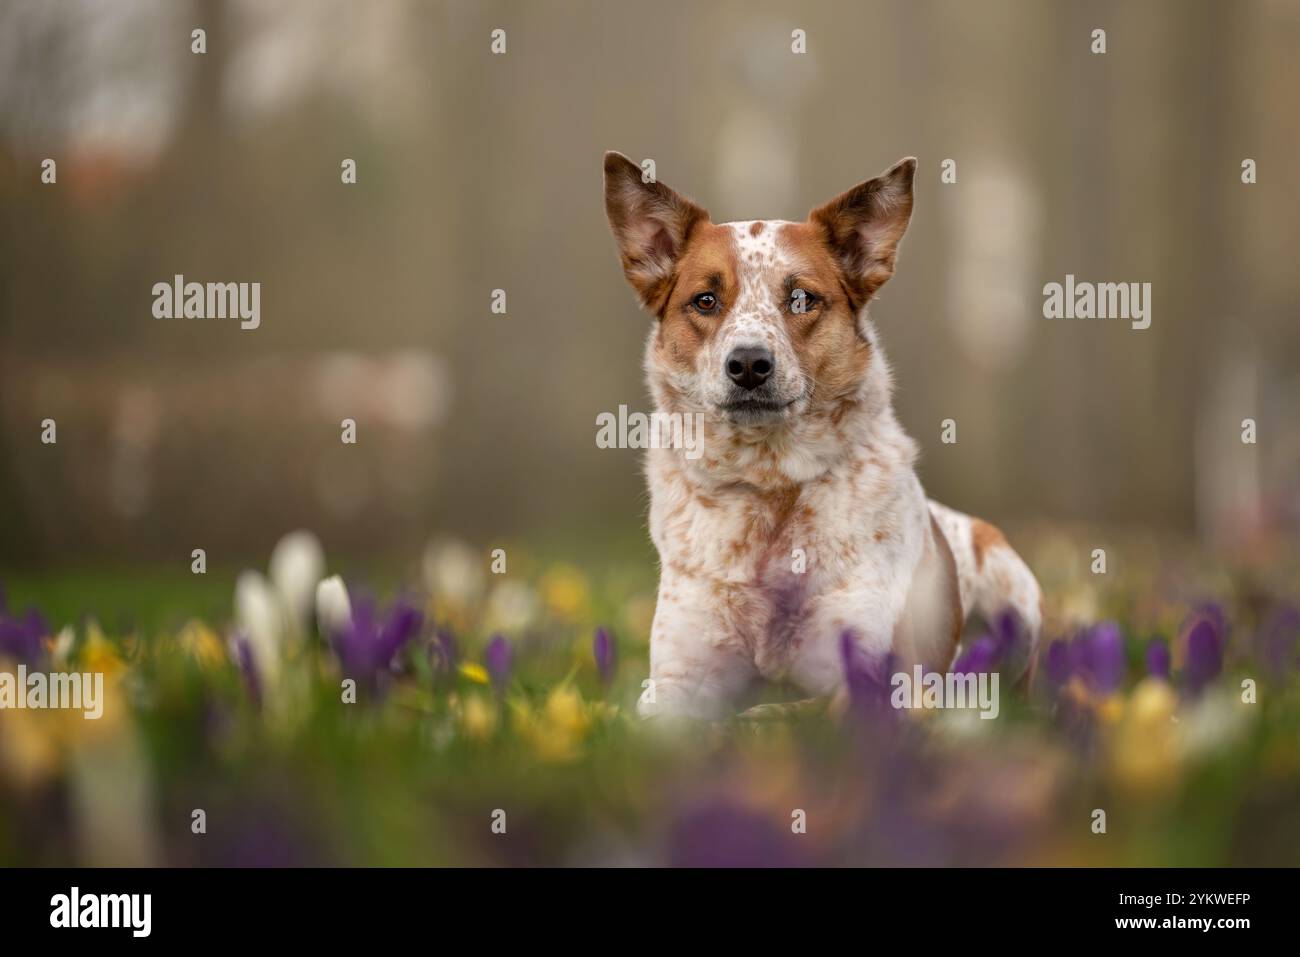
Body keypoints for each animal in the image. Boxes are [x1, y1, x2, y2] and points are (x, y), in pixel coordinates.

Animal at [603, 151, 1040, 717]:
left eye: (801, 298)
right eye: (704, 301)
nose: (749, 364)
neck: (769, 484)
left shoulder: (876, 679)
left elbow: (773, 713)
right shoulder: (676, 680)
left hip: (1015, 590)